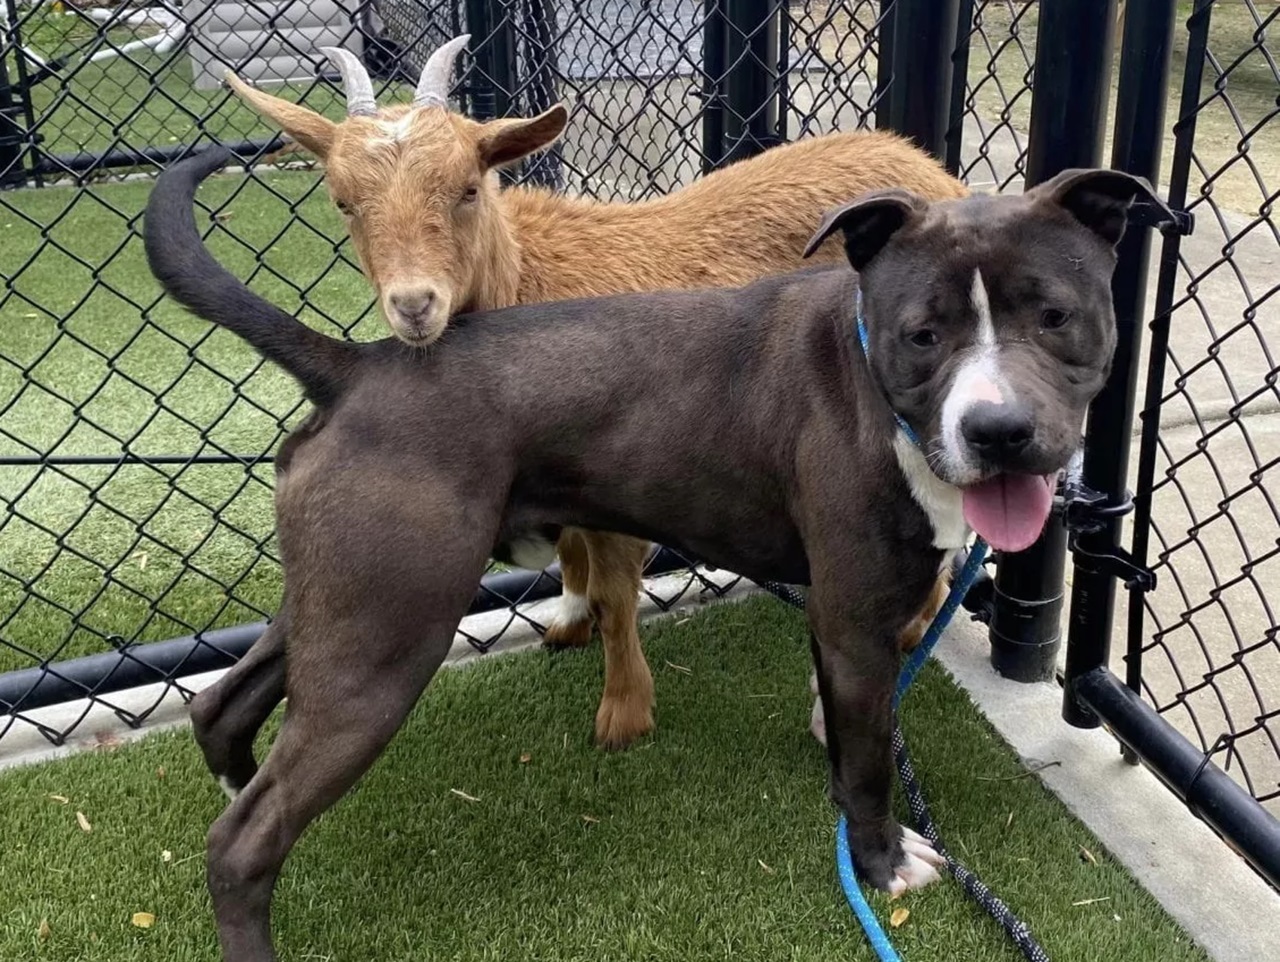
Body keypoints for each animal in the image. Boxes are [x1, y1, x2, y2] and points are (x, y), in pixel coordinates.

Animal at [142, 144, 1172, 961]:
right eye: (924, 335)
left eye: (1056, 317)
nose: (1000, 431)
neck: (871, 375)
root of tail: (359, 366)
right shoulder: (854, 618)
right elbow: (873, 762)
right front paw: (879, 864)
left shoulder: (845, 622)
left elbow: (850, 737)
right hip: (385, 644)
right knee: (243, 841)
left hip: (343, 606)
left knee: (222, 707)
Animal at [227, 37, 967, 747]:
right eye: (343, 202)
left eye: (468, 189)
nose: (415, 305)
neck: (528, 279)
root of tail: (930, 168)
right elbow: (570, 556)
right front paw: (569, 623)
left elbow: (616, 594)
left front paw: (623, 714)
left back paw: (913, 629)